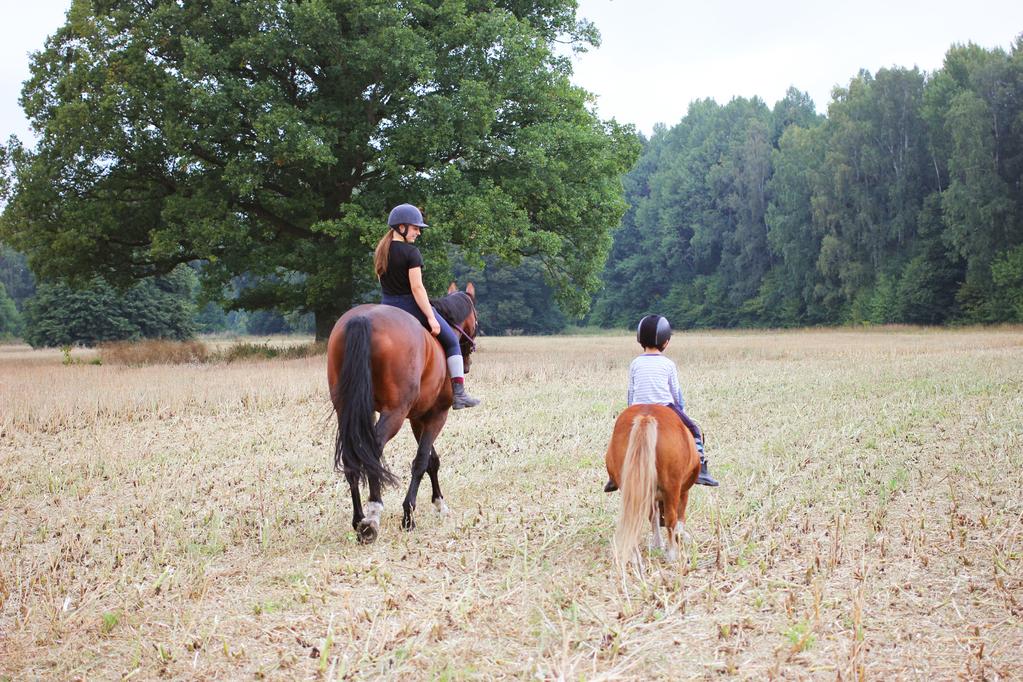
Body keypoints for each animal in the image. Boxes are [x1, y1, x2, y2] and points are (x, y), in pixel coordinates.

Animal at [327, 282, 478, 543]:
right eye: (476, 321)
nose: (467, 366)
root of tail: (362, 318)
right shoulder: (436, 415)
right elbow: (421, 461)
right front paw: (409, 515)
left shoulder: (418, 418)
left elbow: (432, 461)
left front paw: (439, 504)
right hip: (394, 413)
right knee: (372, 448)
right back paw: (373, 515)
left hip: (349, 408)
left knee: (352, 455)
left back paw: (359, 520)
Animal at [601, 404, 699, 564]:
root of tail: (646, 417)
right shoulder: (683, 491)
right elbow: (680, 514)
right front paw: (679, 536)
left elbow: (653, 515)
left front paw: (658, 543)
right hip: (672, 486)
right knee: (671, 518)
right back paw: (672, 554)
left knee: (634, 517)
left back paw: (634, 555)